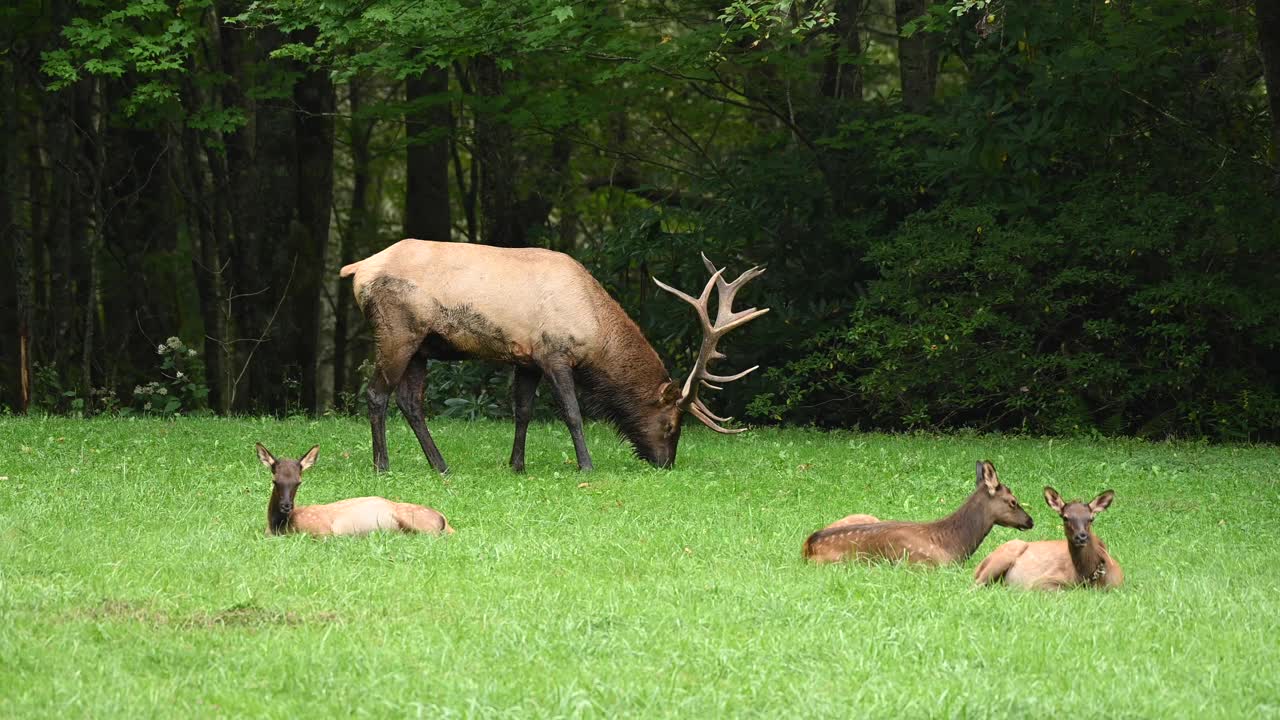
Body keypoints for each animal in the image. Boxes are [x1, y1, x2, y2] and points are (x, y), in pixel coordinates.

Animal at [256, 440, 455, 535]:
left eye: (298, 482)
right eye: (275, 481)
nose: (286, 506)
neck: (281, 528)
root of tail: (443, 518)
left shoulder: (323, 531)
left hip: (420, 523)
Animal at [337, 240, 768, 474]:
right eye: (671, 425)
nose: (666, 463)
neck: (595, 329)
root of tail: (357, 268)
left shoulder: (526, 359)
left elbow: (523, 412)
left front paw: (517, 465)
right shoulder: (554, 353)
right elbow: (573, 413)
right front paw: (587, 464)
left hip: (422, 346)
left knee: (410, 402)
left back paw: (441, 466)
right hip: (398, 331)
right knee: (377, 395)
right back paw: (382, 465)